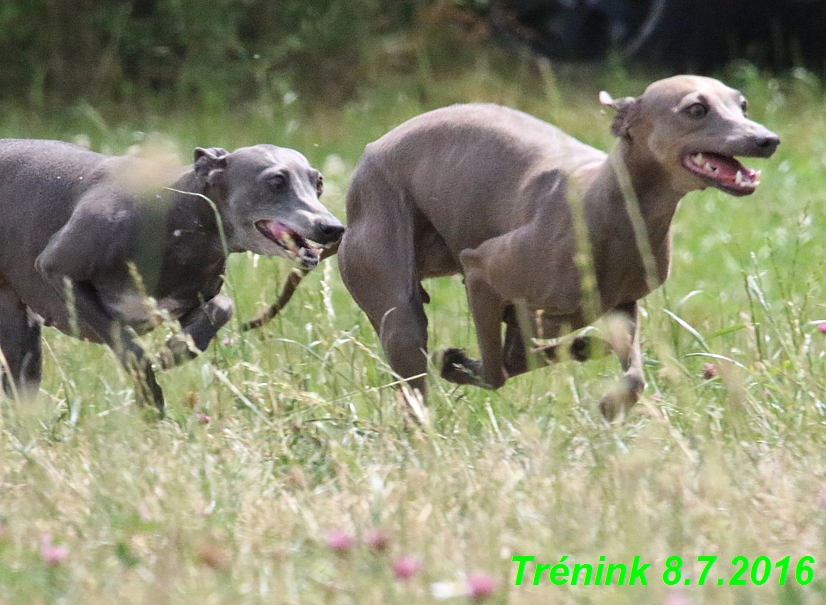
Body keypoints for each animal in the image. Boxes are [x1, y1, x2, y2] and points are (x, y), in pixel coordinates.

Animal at [0, 143, 342, 410]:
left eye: (319, 183)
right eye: (276, 181)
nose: (333, 228)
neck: (176, 215)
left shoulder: (185, 302)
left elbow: (223, 307)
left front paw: (176, 351)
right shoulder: (57, 269)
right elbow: (128, 344)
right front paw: (151, 394)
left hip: (19, 335)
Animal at [340, 73, 780, 418]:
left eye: (742, 104)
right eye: (696, 109)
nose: (768, 139)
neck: (611, 210)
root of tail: (371, 150)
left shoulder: (623, 305)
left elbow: (632, 375)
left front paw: (608, 395)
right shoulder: (481, 270)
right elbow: (497, 372)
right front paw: (458, 364)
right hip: (398, 305)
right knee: (421, 360)